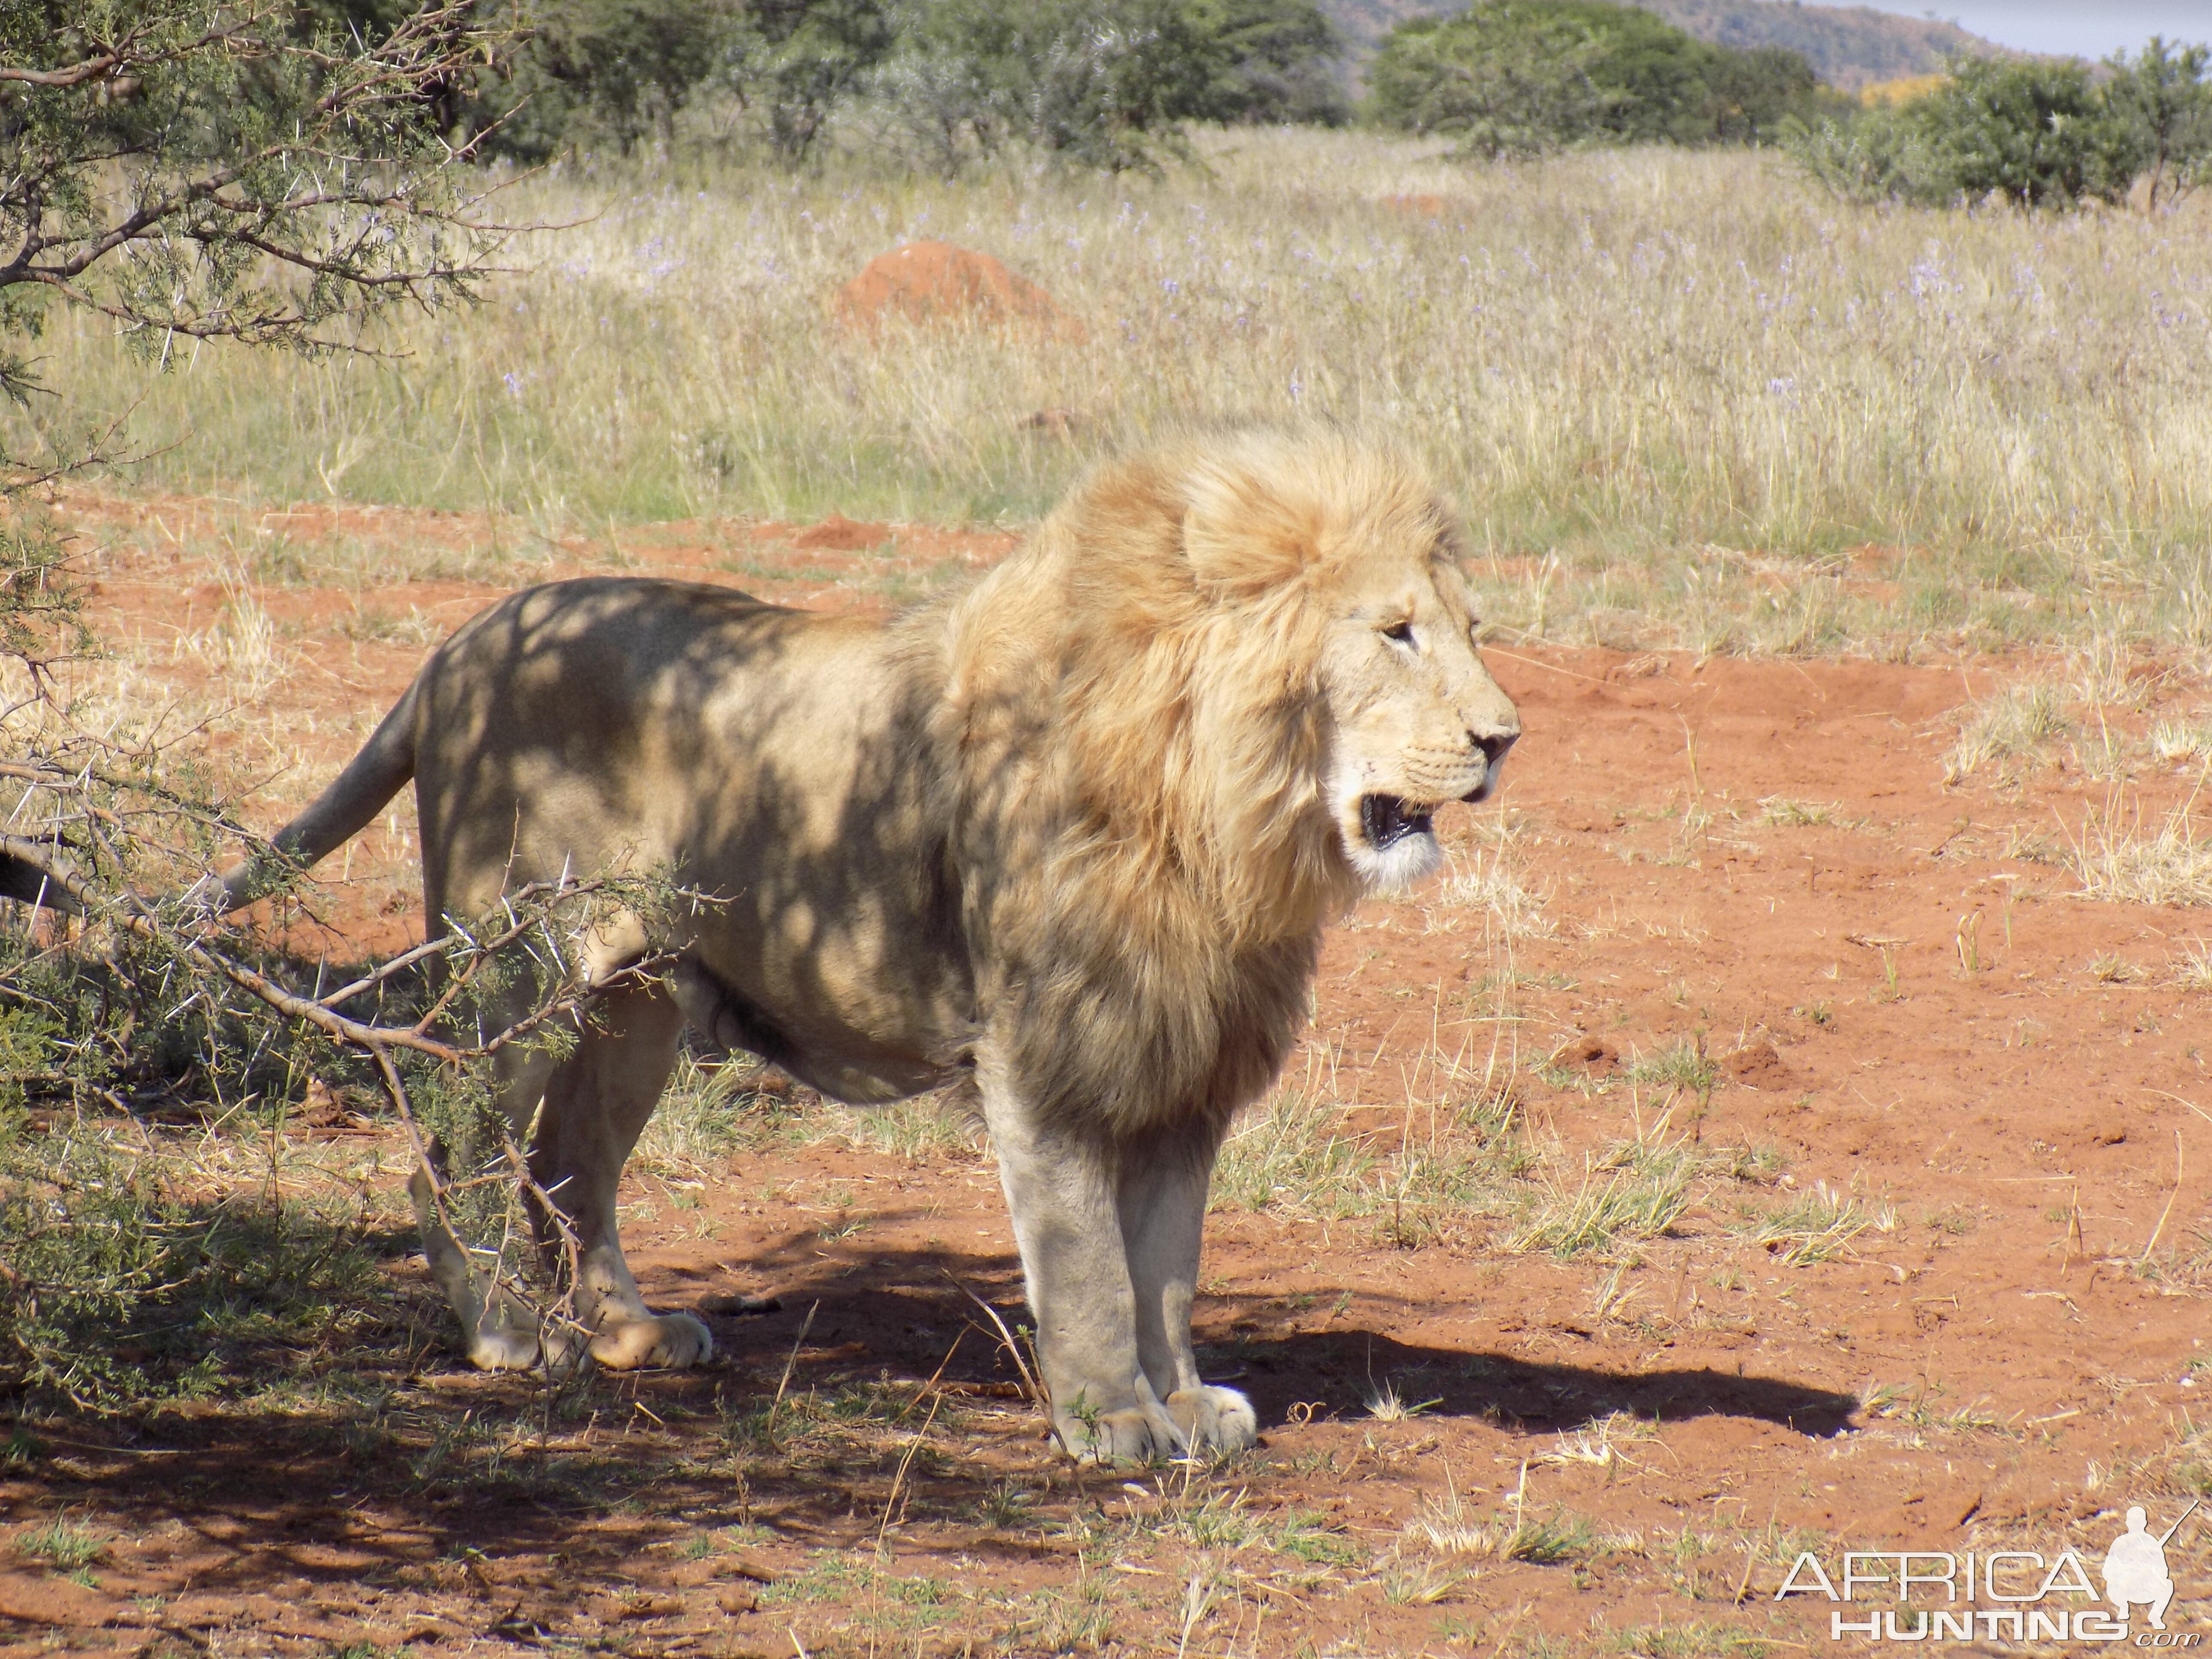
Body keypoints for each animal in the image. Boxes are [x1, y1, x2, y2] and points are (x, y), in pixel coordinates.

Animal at [190, 431, 1522, 1468]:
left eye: (1469, 629)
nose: (1504, 739)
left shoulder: (1177, 1056)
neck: (1220, 812)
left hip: (640, 1002)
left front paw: (1186, 1403)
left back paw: (630, 1335)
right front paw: (1112, 1422)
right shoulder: (1047, 1052)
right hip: (519, 968)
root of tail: (459, 643)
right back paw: (509, 1333)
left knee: (572, 1163)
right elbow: (1092, 1258)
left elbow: (1170, 1261)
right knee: (449, 1151)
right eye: (1397, 633)